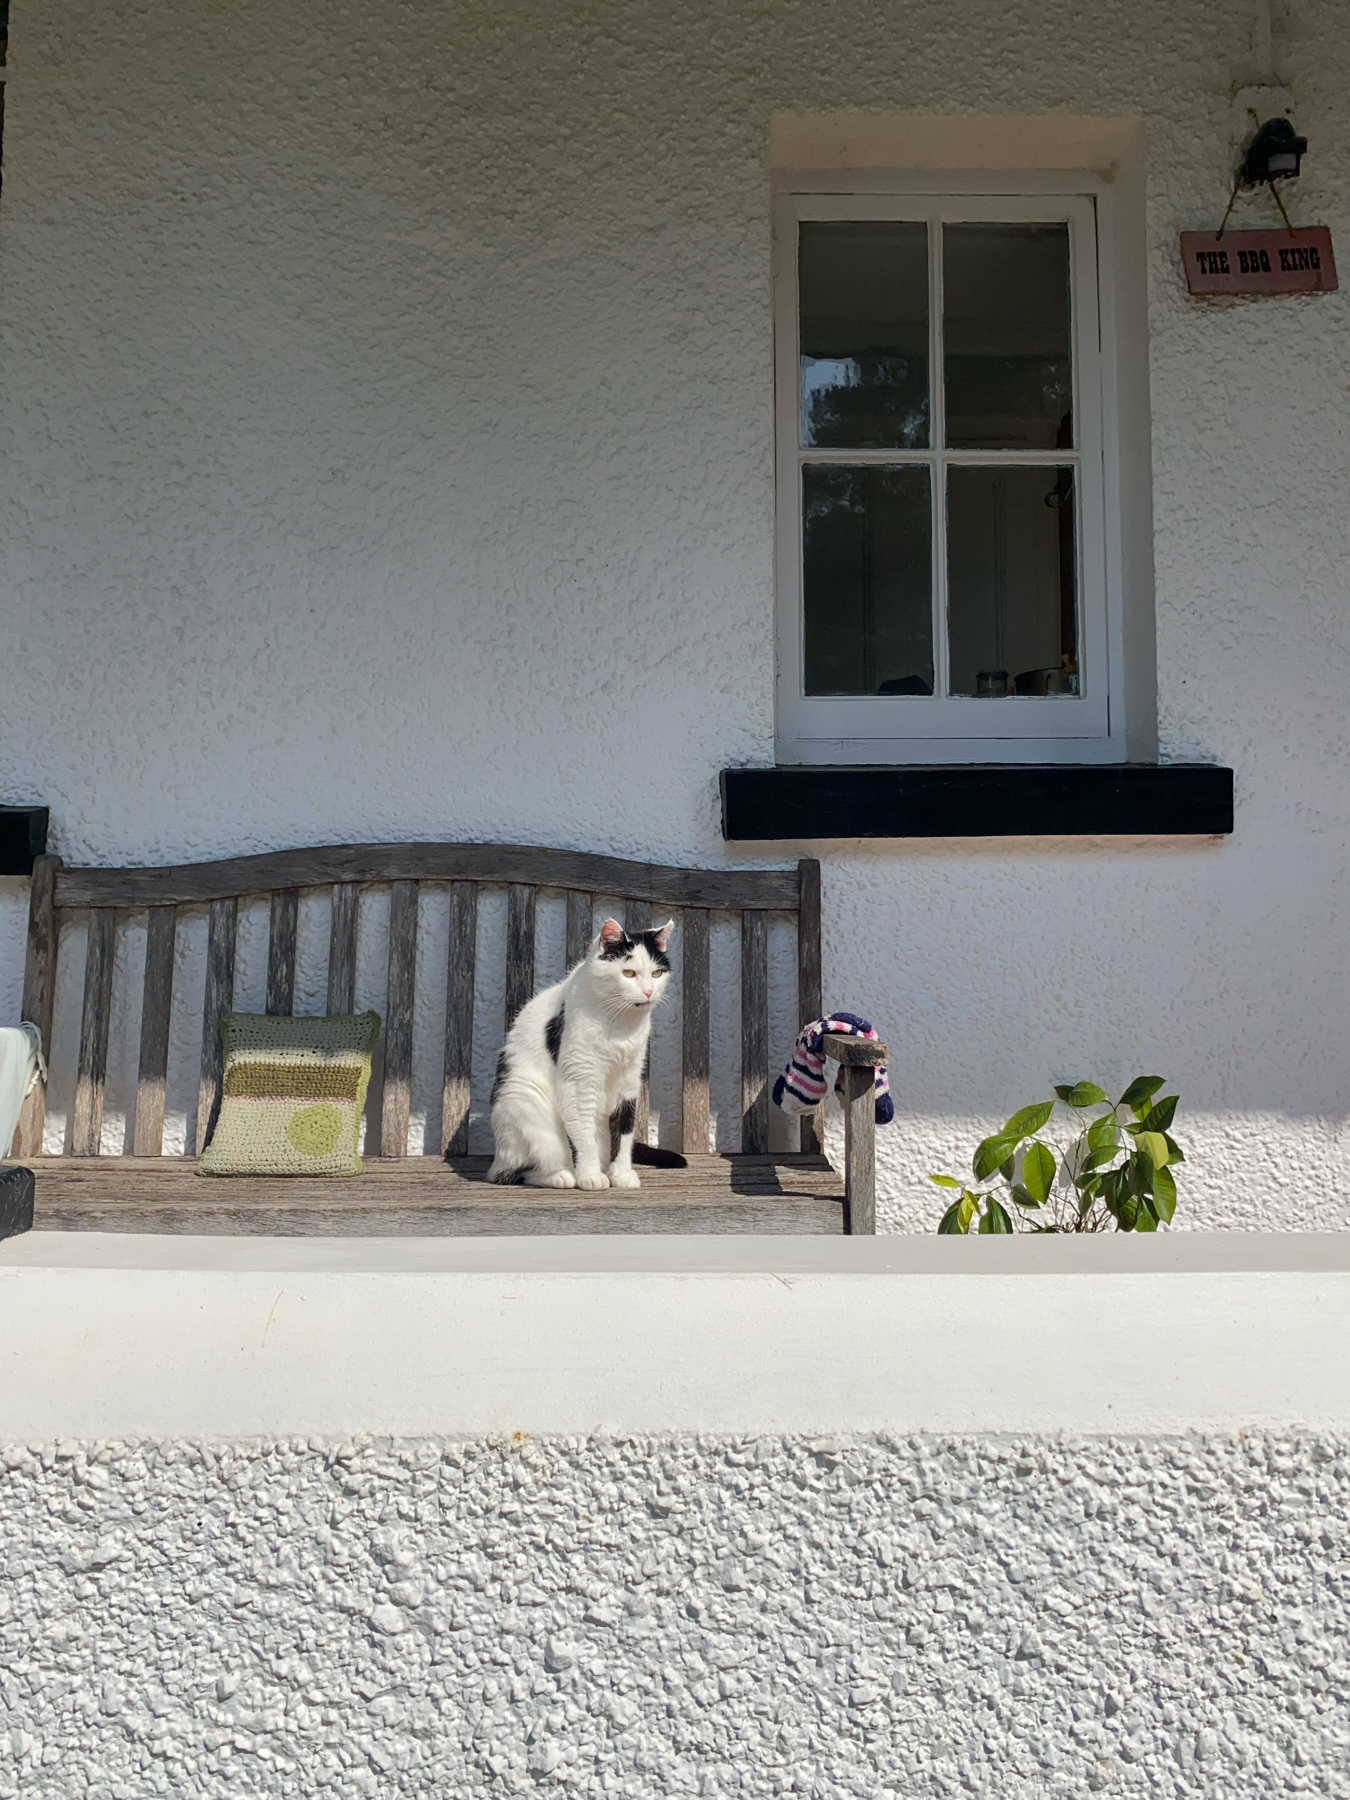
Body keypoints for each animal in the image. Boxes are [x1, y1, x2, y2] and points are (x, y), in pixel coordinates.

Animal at [482, 921, 687, 1188]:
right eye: (628, 973)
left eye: (656, 974)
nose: (648, 992)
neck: (621, 1026)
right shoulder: (579, 1081)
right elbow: (583, 1135)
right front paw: (590, 1175)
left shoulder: (628, 1083)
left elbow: (624, 1132)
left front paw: (621, 1175)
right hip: (522, 1098)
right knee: (513, 1171)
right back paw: (562, 1176)